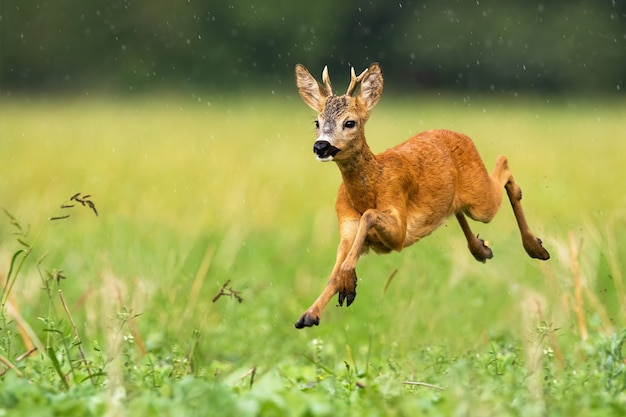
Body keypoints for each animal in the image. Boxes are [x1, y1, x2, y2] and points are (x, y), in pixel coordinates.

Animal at [292, 62, 544, 328]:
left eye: (350, 122)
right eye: (317, 122)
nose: (321, 146)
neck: (372, 186)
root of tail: (462, 135)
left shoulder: (398, 228)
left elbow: (369, 216)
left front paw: (347, 285)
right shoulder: (347, 229)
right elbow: (334, 273)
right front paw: (309, 315)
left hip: (480, 200)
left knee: (503, 165)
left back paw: (535, 248)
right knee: (458, 209)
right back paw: (481, 249)